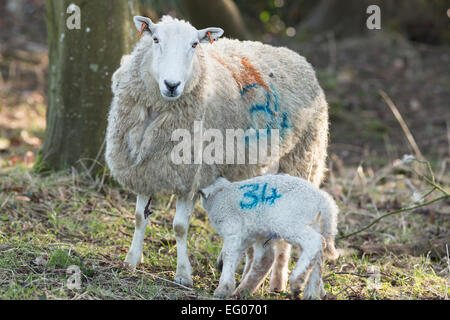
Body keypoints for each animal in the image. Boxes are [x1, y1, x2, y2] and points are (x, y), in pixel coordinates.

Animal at [105, 14, 330, 290]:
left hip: (303, 159)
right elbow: (139, 217)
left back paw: (278, 281)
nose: (172, 85)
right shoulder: (146, 169)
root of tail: (299, 58)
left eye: (194, 44)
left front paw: (183, 274)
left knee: (286, 238)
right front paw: (131, 260)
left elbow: (179, 227)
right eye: (155, 39)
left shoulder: (193, 176)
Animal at [199, 174, 340, 298]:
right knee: (318, 254)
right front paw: (220, 265)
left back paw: (297, 281)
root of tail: (322, 199)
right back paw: (311, 293)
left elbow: (229, 254)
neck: (220, 195)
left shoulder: (232, 229)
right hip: (311, 224)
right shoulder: (248, 237)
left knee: (315, 242)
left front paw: (222, 289)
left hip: (289, 224)